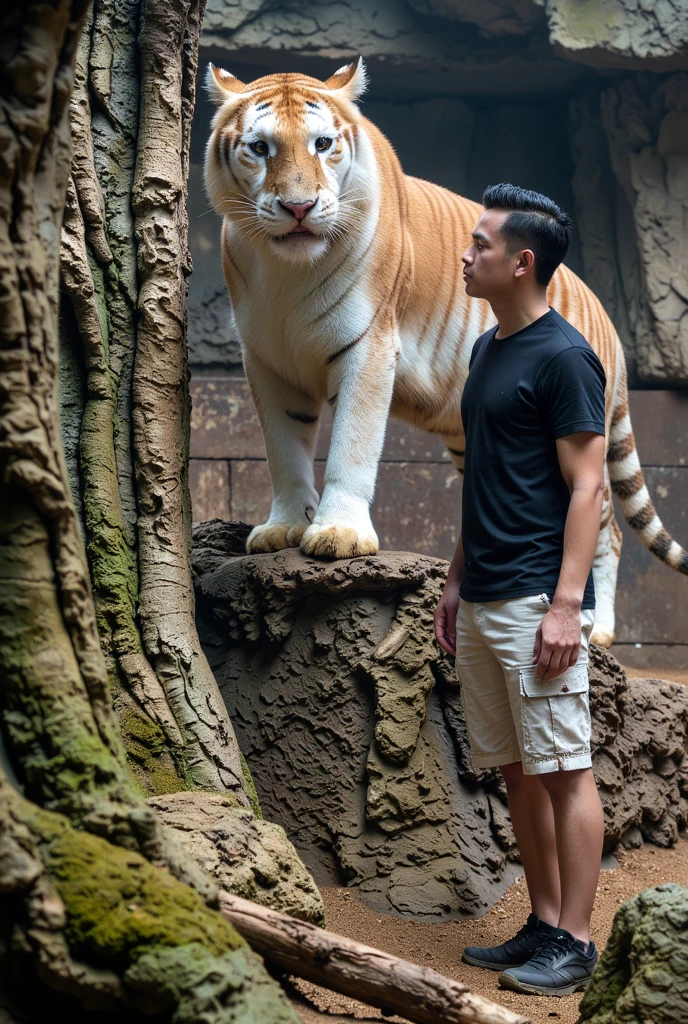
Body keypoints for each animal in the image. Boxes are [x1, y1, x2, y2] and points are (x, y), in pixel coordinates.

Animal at [202, 54, 688, 647]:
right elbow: (283, 450)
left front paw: (339, 533)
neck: (286, 272)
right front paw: (285, 526)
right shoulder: (268, 361)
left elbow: (352, 444)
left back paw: (596, 628)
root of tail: (609, 320)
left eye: (322, 144)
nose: (299, 207)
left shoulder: (368, 344)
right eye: (260, 147)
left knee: (606, 526)